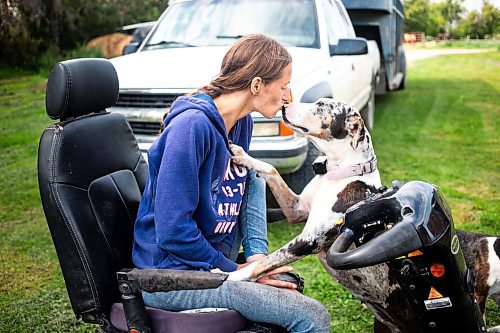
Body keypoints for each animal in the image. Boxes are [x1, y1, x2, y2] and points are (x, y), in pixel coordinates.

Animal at [228, 97, 500, 330]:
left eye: (321, 105)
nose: (284, 105)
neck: (341, 172)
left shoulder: (310, 239)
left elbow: (264, 262)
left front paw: (231, 275)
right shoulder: (296, 209)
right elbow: (271, 169)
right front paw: (242, 155)